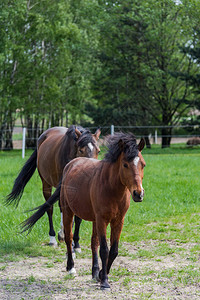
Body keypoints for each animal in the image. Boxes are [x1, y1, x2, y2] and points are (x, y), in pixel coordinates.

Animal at [21, 132, 146, 290]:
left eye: (143, 164)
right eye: (125, 164)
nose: (138, 194)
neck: (111, 187)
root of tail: (70, 165)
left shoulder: (118, 221)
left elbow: (113, 250)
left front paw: (100, 274)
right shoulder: (102, 220)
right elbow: (104, 250)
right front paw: (104, 281)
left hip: (94, 220)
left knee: (93, 242)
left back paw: (94, 272)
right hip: (68, 212)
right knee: (68, 238)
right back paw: (71, 268)